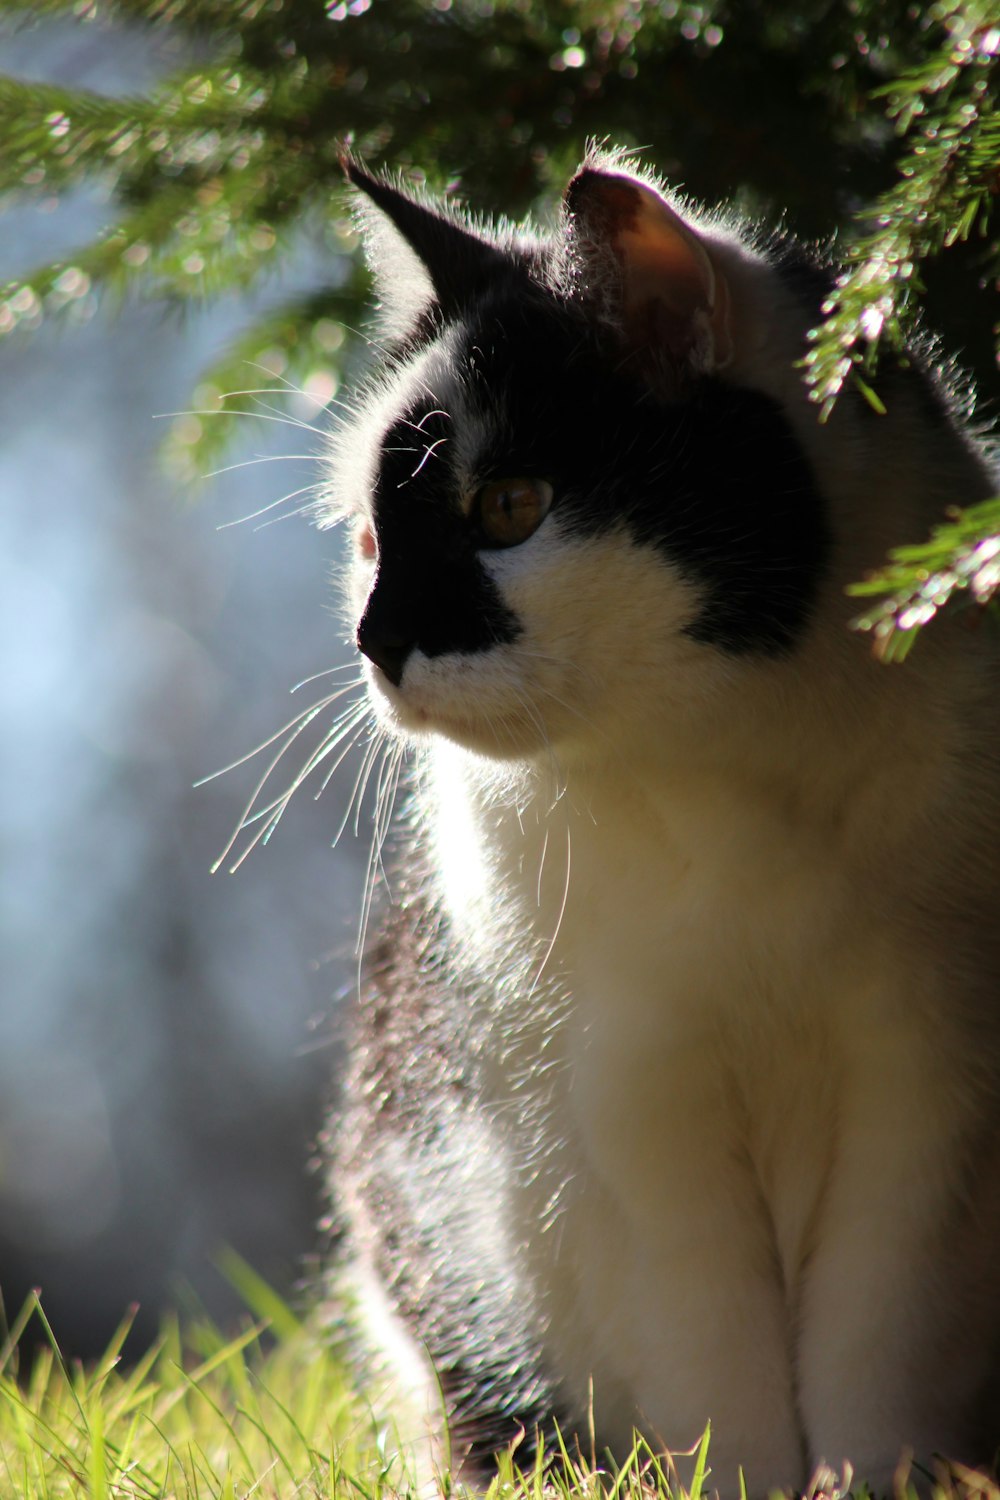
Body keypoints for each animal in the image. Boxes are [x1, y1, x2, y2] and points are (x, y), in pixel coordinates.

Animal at [325, 149, 1000, 1500]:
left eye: (509, 506)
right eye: (369, 539)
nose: (375, 639)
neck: (718, 788)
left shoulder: (927, 1077)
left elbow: (878, 1343)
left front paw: (870, 1485)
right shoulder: (630, 1101)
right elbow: (711, 1362)